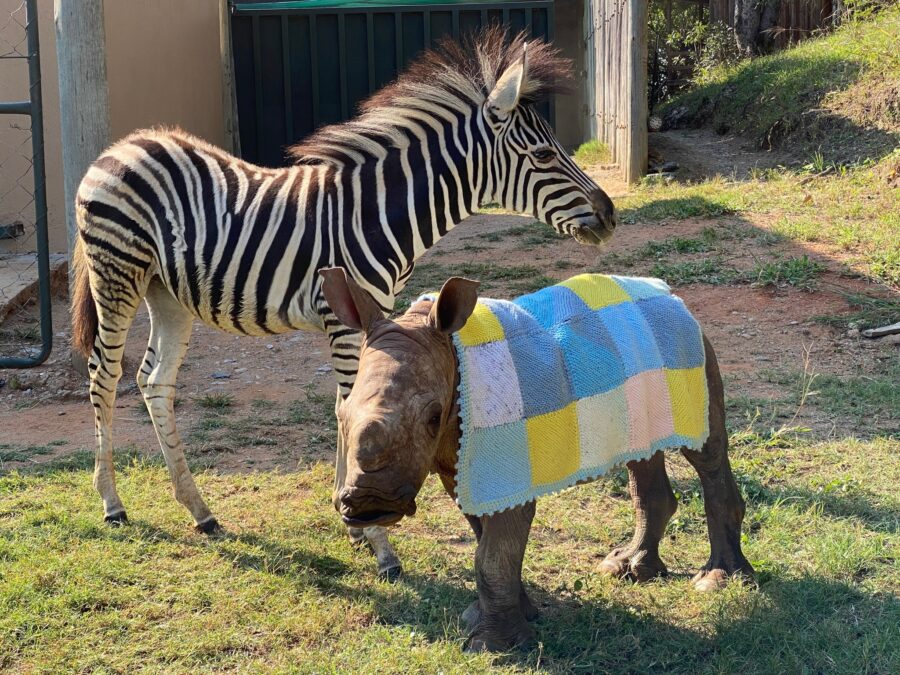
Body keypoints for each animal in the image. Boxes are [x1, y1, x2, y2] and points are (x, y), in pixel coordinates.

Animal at [70, 29, 616, 578]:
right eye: (544, 155)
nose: (611, 215)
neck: (377, 214)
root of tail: (119, 146)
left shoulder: (368, 317)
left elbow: (346, 405)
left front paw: (352, 523)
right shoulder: (345, 318)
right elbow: (354, 404)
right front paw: (377, 539)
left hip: (168, 292)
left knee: (154, 381)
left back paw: (200, 510)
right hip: (118, 272)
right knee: (104, 376)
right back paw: (112, 503)